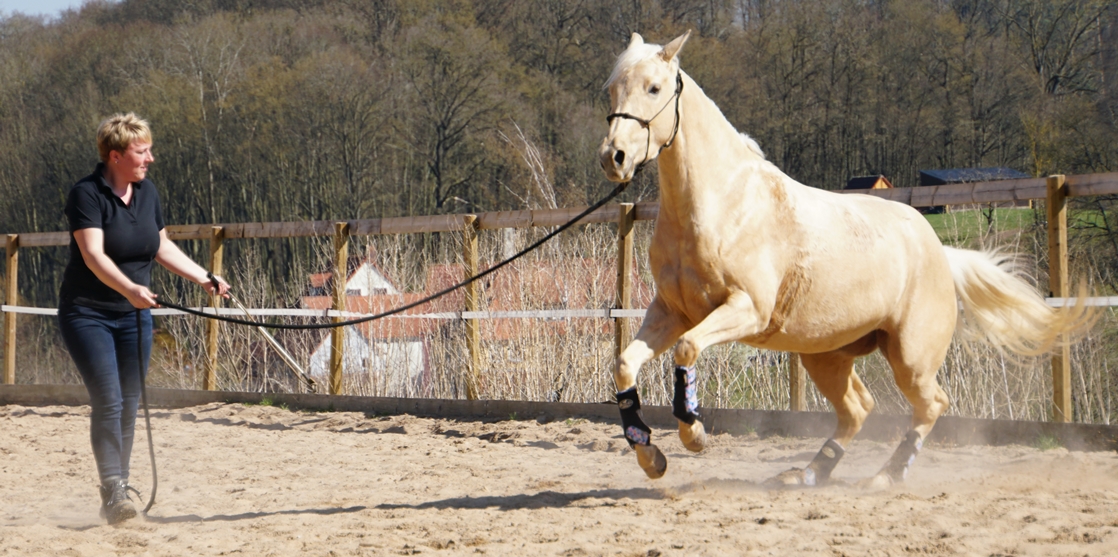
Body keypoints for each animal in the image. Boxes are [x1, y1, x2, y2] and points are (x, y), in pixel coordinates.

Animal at [599, 31, 1086, 487]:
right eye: (613, 88)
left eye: (655, 88)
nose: (614, 157)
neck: (722, 203)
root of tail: (938, 250)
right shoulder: (671, 311)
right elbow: (624, 365)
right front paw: (650, 456)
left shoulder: (746, 309)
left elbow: (686, 348)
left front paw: (693, 433)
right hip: (826, 353)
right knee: (858, 408)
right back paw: (810, 474)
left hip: (910, 355)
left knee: (931, 404)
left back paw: (885, 476)